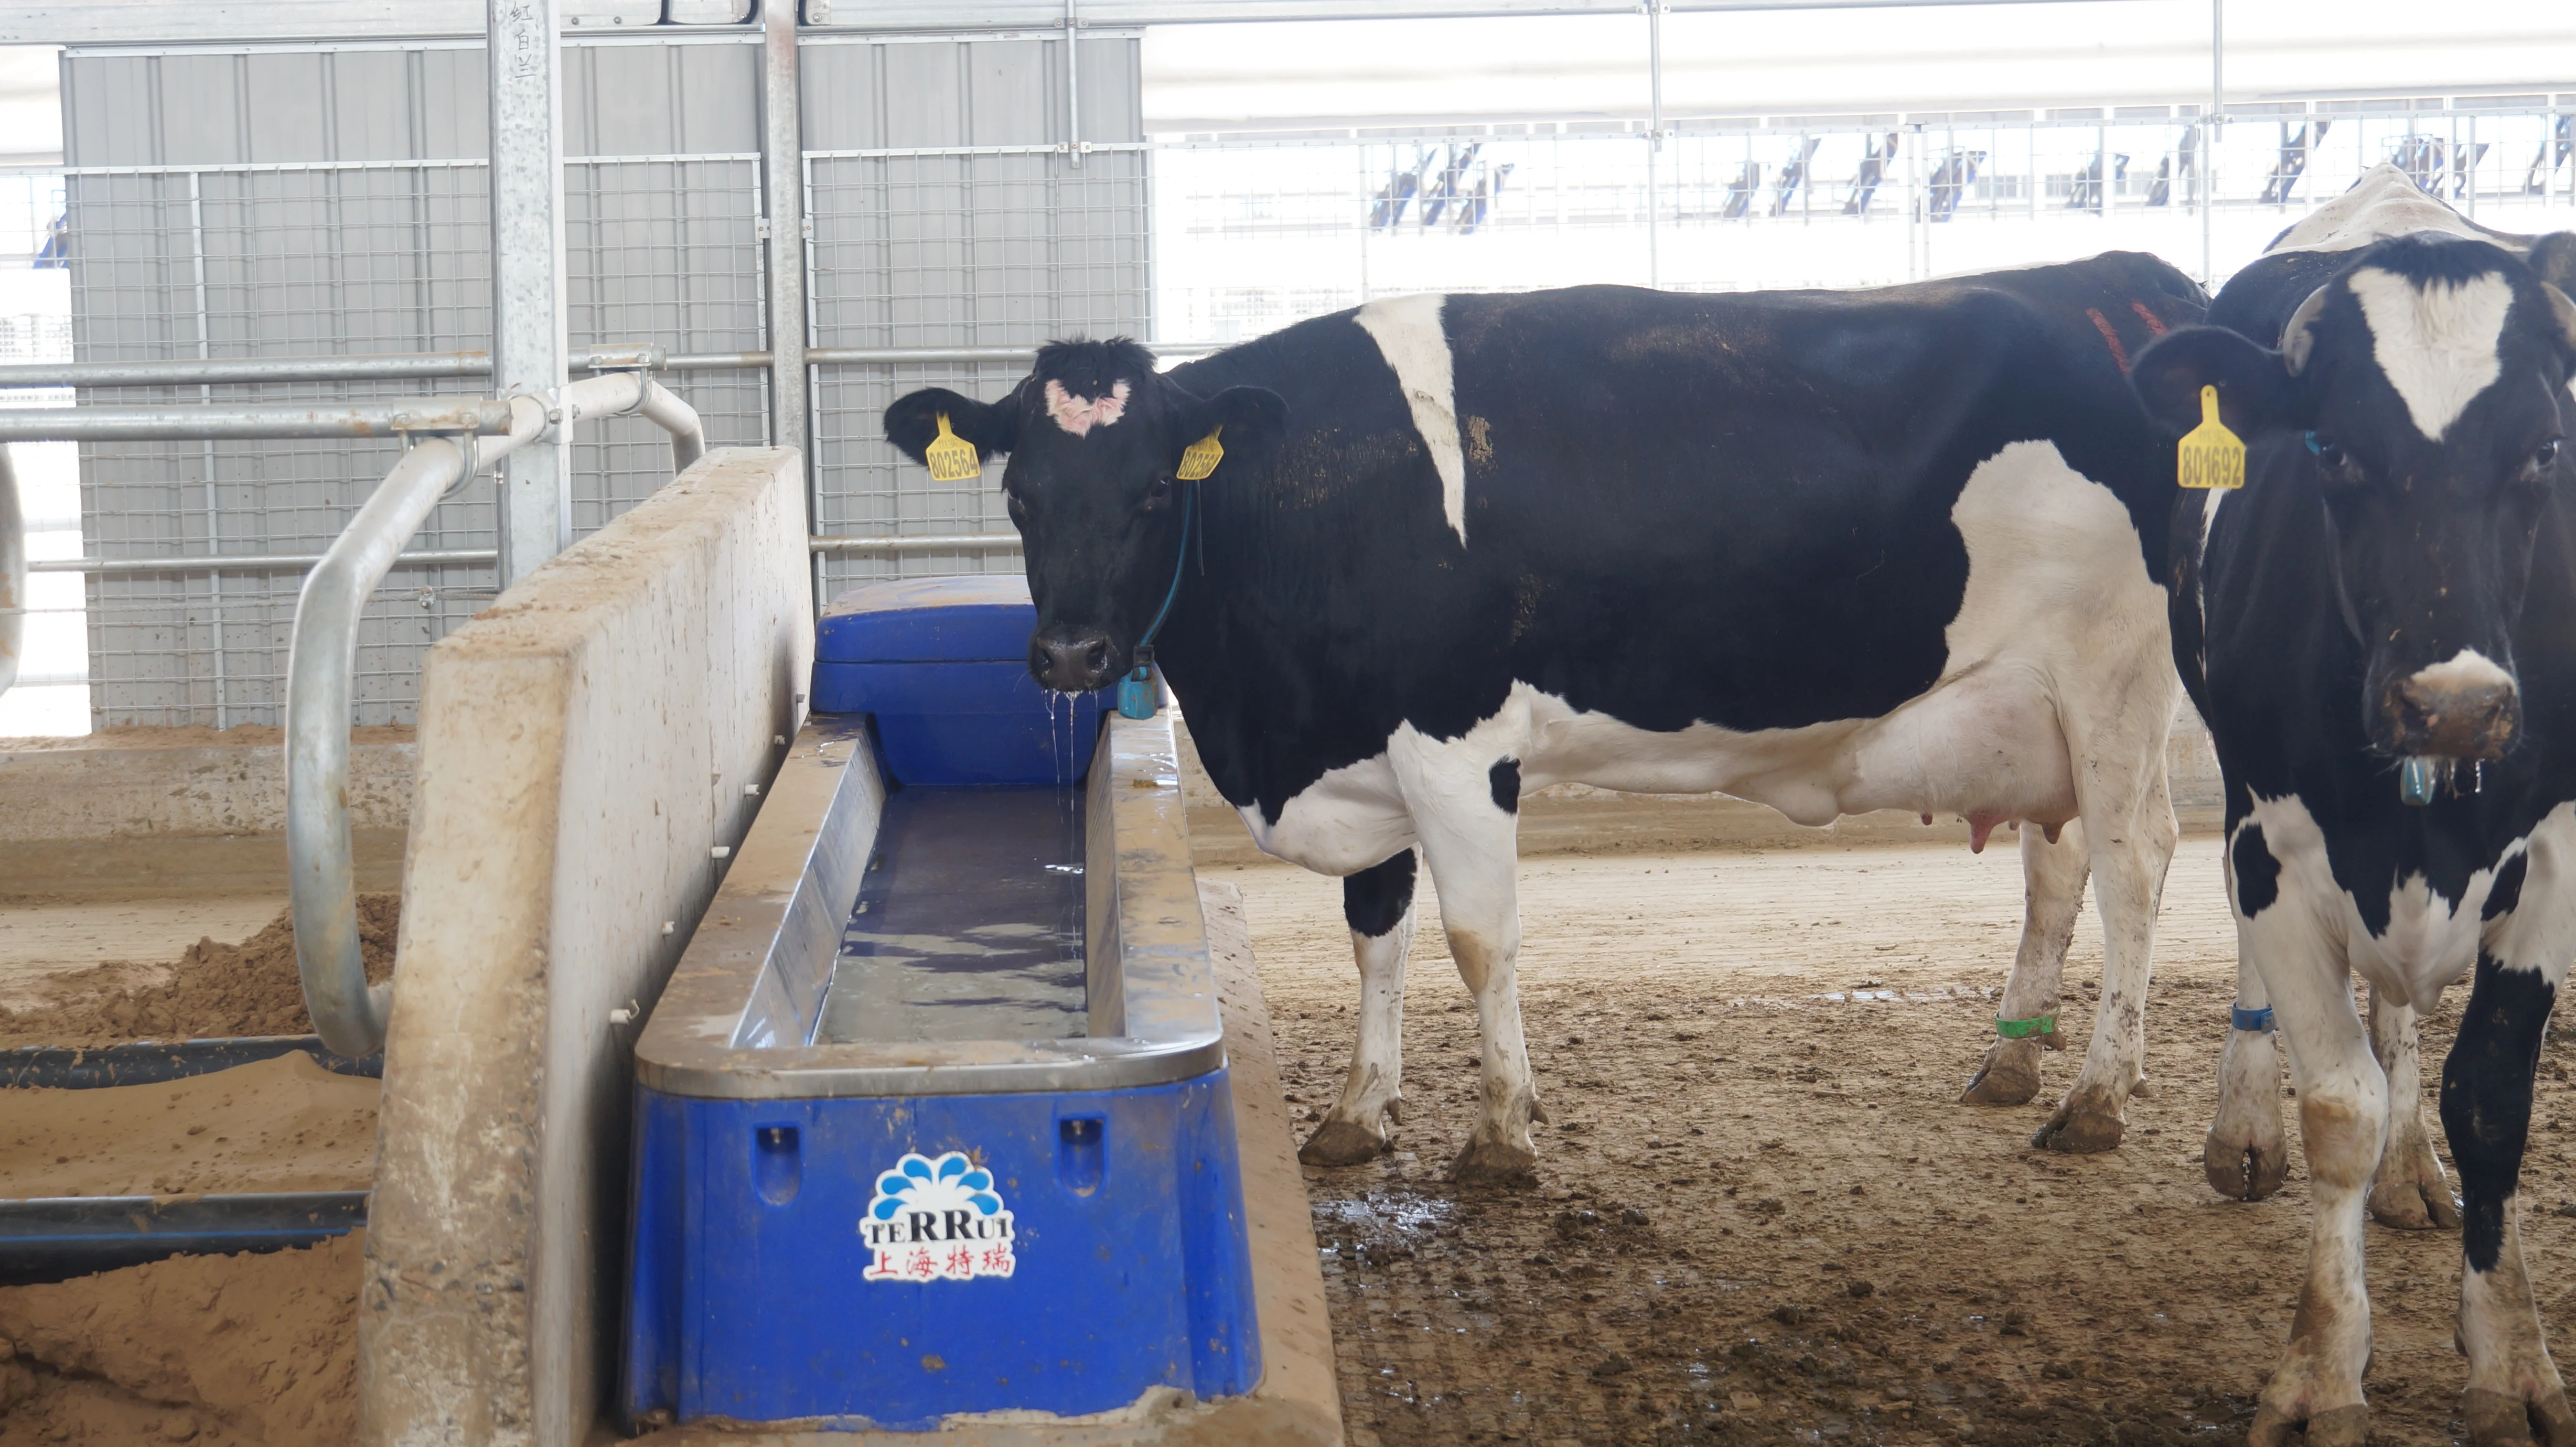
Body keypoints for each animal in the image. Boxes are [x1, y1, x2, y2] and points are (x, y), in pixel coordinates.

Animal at [885, 255, 2205, 1183]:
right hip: (2031, 706)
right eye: (1019, 492)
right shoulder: (1367, 752)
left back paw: (2099, 1100)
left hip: (2115, 673)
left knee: (2137, 863)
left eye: (1155, 490)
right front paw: (1357, 1114)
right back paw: (2011, 1061)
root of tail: (2115, 278)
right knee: (2058, 864)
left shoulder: (1453, 742)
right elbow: (1374, 932)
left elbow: (1477, 939)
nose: (1070, 653)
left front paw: (1500, 1135)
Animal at [2132, 163, 2576, 1444]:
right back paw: (2245, 1127)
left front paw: (2508, 1356)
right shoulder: (2275, 844)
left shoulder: (2557, 848)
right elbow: (2337, 1106)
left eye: (2544, 448)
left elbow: (2491, 1102)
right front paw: (2324, 1369)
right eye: (2329, 448)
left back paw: (2413, 1170)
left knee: (2404, 1024)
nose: (2453, 705)